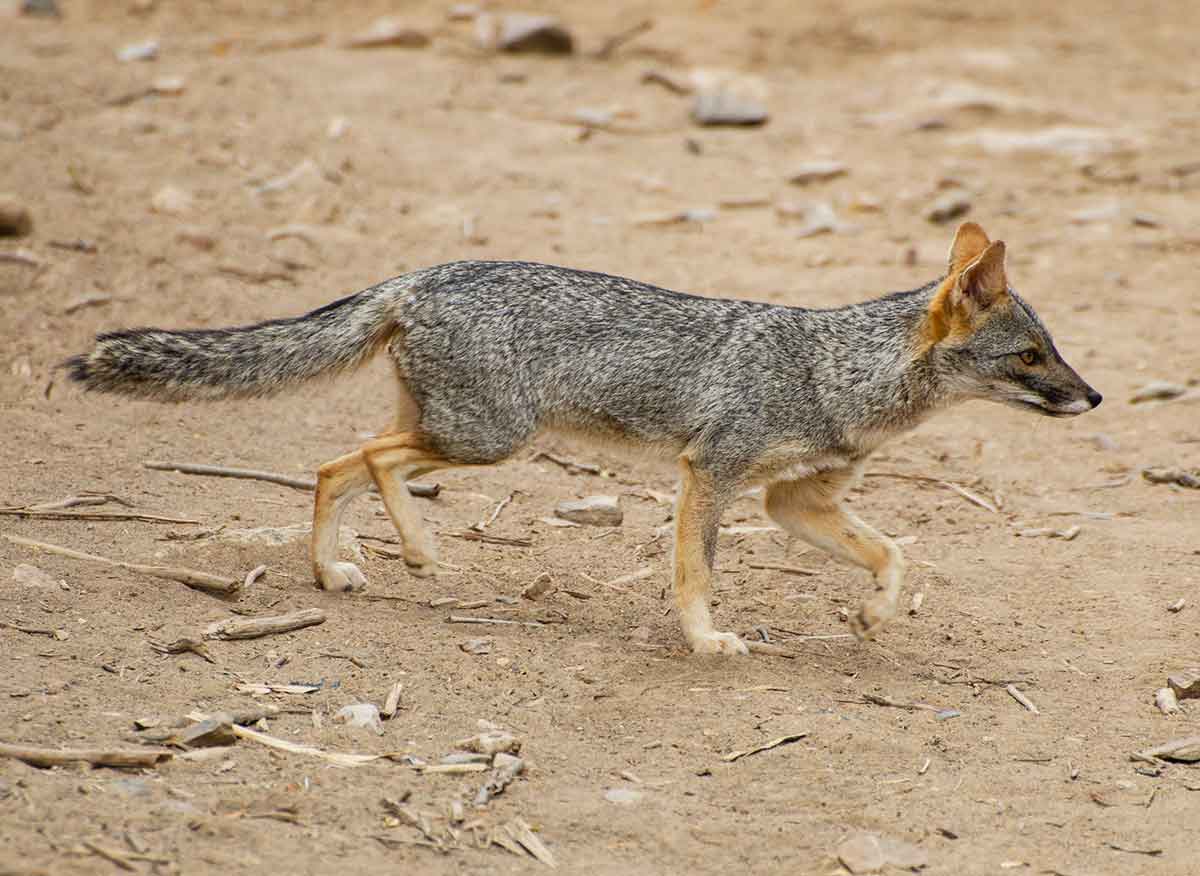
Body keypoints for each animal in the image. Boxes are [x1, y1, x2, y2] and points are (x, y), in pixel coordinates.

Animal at [63, 222, 1099, 652]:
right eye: (1032, 356)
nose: (1094, 397)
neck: (837, 369)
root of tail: (427, 272)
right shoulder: (712, 471)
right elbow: (695, 572)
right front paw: (706, 641)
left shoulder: (791, 498)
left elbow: (893, 553)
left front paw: (875, 618)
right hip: (487, 441)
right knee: (356, 461)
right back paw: (403, 551)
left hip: (455, 432)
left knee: (338, 462)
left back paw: (352, 565)